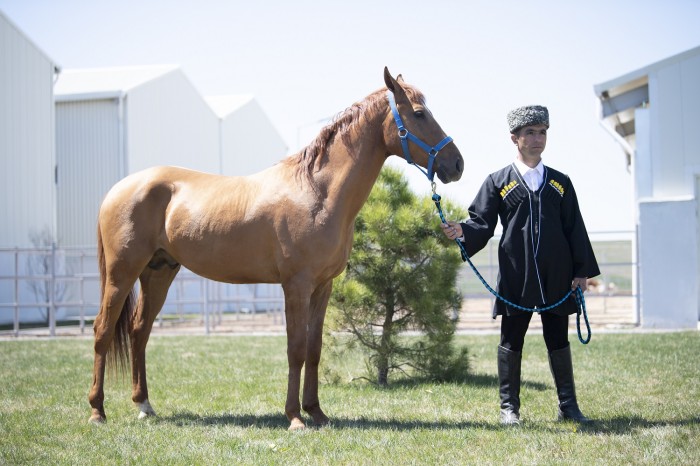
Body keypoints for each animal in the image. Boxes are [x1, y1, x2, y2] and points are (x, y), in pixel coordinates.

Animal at [90, 68, 464, 430]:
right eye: (419, 114)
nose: (457, 164)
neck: (317, 192)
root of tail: (116, 190)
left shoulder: (323, 287)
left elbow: (314, 348)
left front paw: (317, 413)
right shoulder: (296, 285)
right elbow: (295, 349)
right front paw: (294, 417)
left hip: (158, 272)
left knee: (139, 331)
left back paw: (144, 406)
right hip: (122, 273)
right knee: (103, 330)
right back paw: (97, 411)